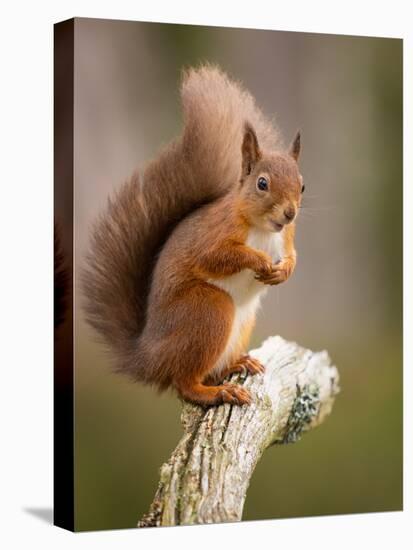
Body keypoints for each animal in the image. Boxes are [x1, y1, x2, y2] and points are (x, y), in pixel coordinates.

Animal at [83, 66, 302, 410]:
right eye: (262, 183)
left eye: (302, 185)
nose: (290, 213)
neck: (266, 230)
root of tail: (149, 357)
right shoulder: (215, 234)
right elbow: (217, 257)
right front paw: (260, 261)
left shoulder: (287, 237)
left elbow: (293, 255)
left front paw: (284, 270)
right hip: (208, 310)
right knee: (184, 384)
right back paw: (217, 391)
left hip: (240, 323)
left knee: (208, 372)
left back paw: (238, 364)